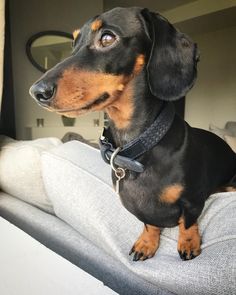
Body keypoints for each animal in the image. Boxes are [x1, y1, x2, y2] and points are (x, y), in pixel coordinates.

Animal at [29, 6, 236, 262]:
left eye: (107, 38)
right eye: (73, 43)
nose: (36, 92)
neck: (137, 147)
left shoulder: (192, 201)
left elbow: (187, 223)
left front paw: (189, 243)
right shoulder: (141, 209)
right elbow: (149, 223)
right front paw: (147, 243)